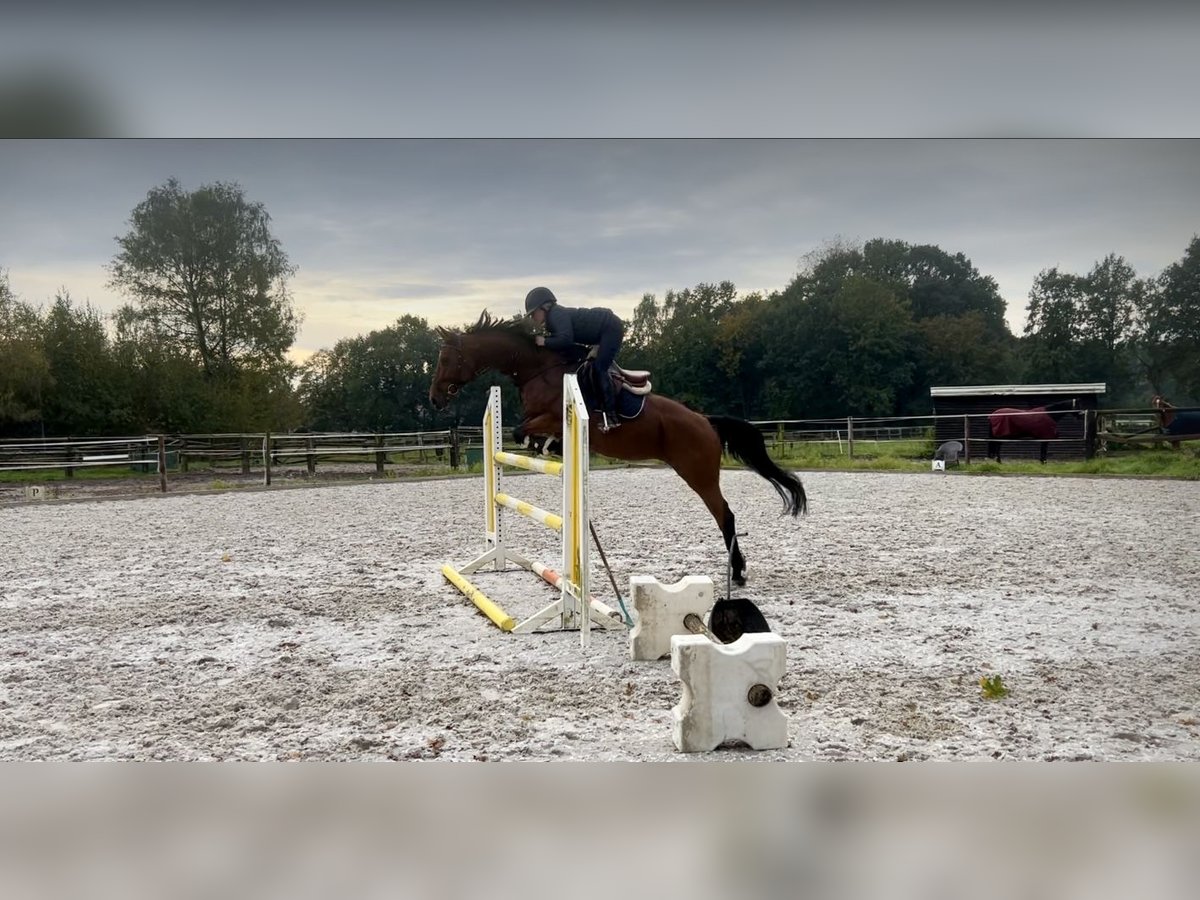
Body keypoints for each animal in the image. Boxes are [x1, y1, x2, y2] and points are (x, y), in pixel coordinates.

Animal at [427, 314, 811, 588]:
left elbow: (522, 430)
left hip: (697, 473)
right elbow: (520, 430)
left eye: (445, 359)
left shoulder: (554, 414)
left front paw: (543, 444)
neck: (539, 369)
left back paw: (739, 572)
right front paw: (544, 445)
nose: (434, 398)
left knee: (725, 515)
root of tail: (704, 420)